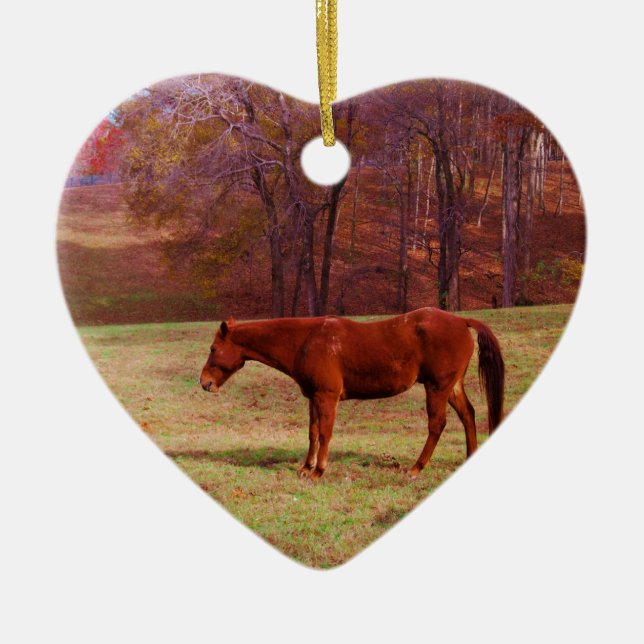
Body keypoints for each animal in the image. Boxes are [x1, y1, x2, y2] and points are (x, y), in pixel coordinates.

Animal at [199, 307, 505, 479]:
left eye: (213, 349)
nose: (204, 382)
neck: (306, 341)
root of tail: (461, 321)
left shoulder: (327, 397)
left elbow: (325, 433)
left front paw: (319, 471)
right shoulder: (313, 398)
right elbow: (312, 432)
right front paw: (306, 467)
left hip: (437, 387)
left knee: (437, 425)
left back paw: (416, 467)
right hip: (451, 387)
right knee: (468, 415)